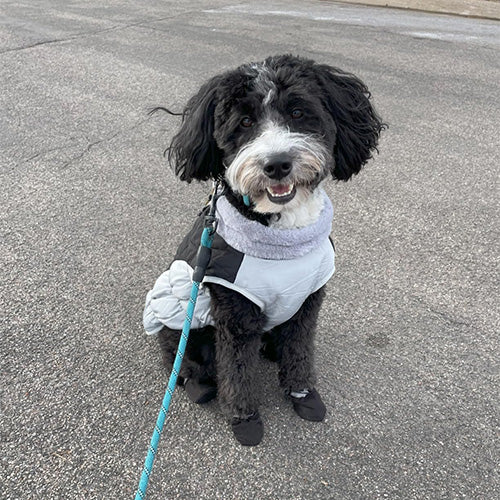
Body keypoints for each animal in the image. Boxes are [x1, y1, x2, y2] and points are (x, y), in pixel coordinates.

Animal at [143, 54, 384, 446]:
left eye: (298, 112)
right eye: (244, 122)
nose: (277, 164)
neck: (283, 240)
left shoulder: (307, 302)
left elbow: (300, 350)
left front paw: (303, 394)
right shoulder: (235, 313)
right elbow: (238, 368)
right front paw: (245, 418)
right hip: (183, 322)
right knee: (182, 364)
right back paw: (198, 384)